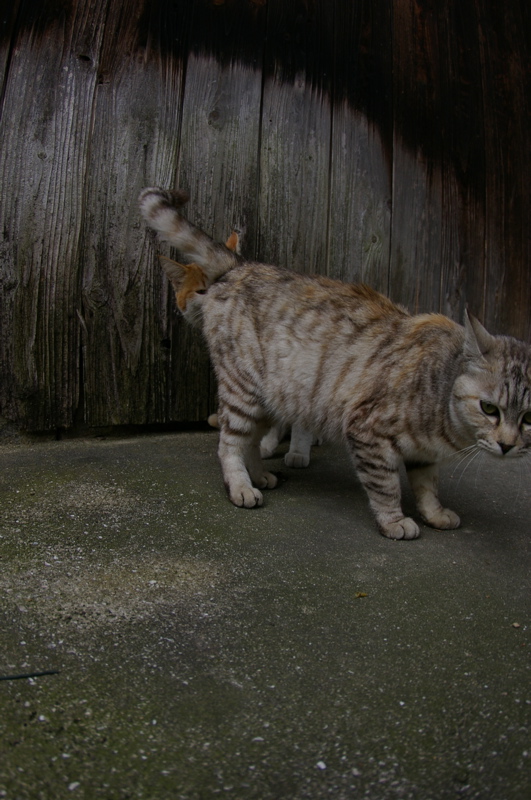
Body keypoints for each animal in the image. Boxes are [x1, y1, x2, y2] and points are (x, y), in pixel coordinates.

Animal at [140, 184, 531, 540]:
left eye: (528, 419)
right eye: (489, 408)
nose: (508, 445)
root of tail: (242, 265)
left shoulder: (422, 454)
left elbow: (427, 485)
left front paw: (434, 513)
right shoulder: (368, 431)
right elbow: (386, 486)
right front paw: (394, 521)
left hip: (270, 394)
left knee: (251, 439)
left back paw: (260, 475)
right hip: (243, 389)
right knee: (230, 443)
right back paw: (241, 486)